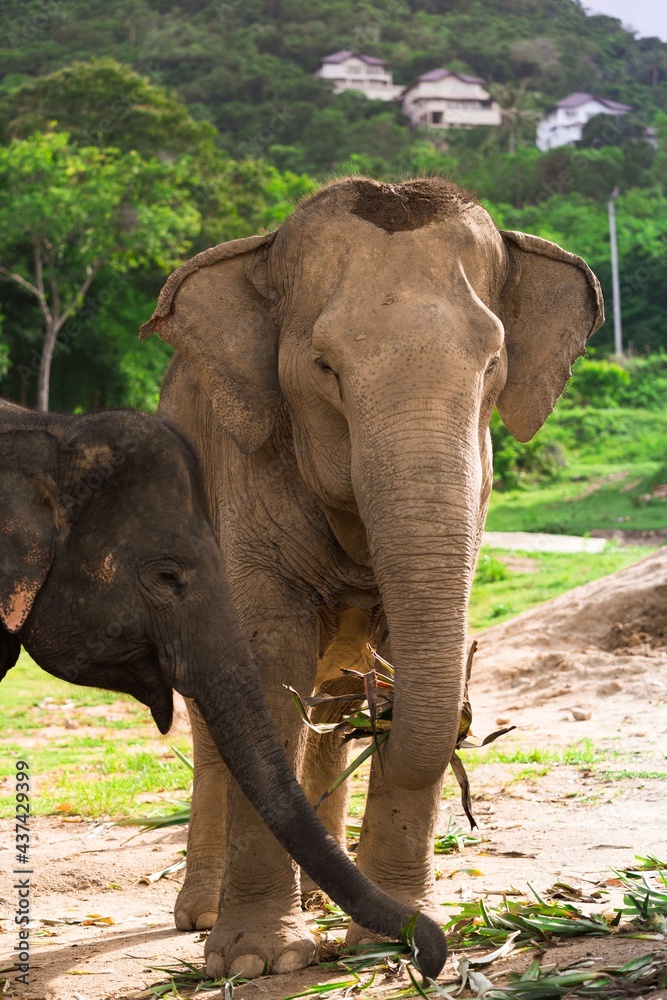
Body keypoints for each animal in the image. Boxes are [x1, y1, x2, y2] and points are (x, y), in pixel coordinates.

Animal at [140, 176, 604, 979]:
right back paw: (201, 917)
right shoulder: (245, 469)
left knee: (327, 706)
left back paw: (323, 898)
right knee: (215, 723)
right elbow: (267, 662)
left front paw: (389, 937)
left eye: (492, 364)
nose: (430, 950)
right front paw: (255, 961)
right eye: (325, 368)